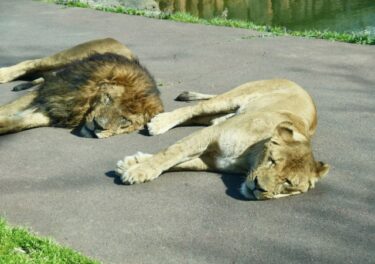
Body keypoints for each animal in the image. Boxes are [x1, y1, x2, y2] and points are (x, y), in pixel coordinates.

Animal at [0, 39, 164, 139]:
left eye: (125, 120)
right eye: (108, 98)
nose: (98, 125)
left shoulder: (58, 111)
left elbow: (17, 123)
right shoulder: (49, 92)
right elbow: (8, 109)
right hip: (63, 58)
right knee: (31, 63)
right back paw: (3, 74)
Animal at [117, 79, 328, 199]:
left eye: (288, 183)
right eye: (272, 161)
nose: (258, 188)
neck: (251, 157)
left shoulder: (213, 160)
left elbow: (178, 163)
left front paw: (132, 163)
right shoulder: (211, 134)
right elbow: (171, 152)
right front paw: (138, 171)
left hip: (223, 114)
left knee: (200, 117)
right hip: (232, 98)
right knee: (194, 109)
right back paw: (159, 123)